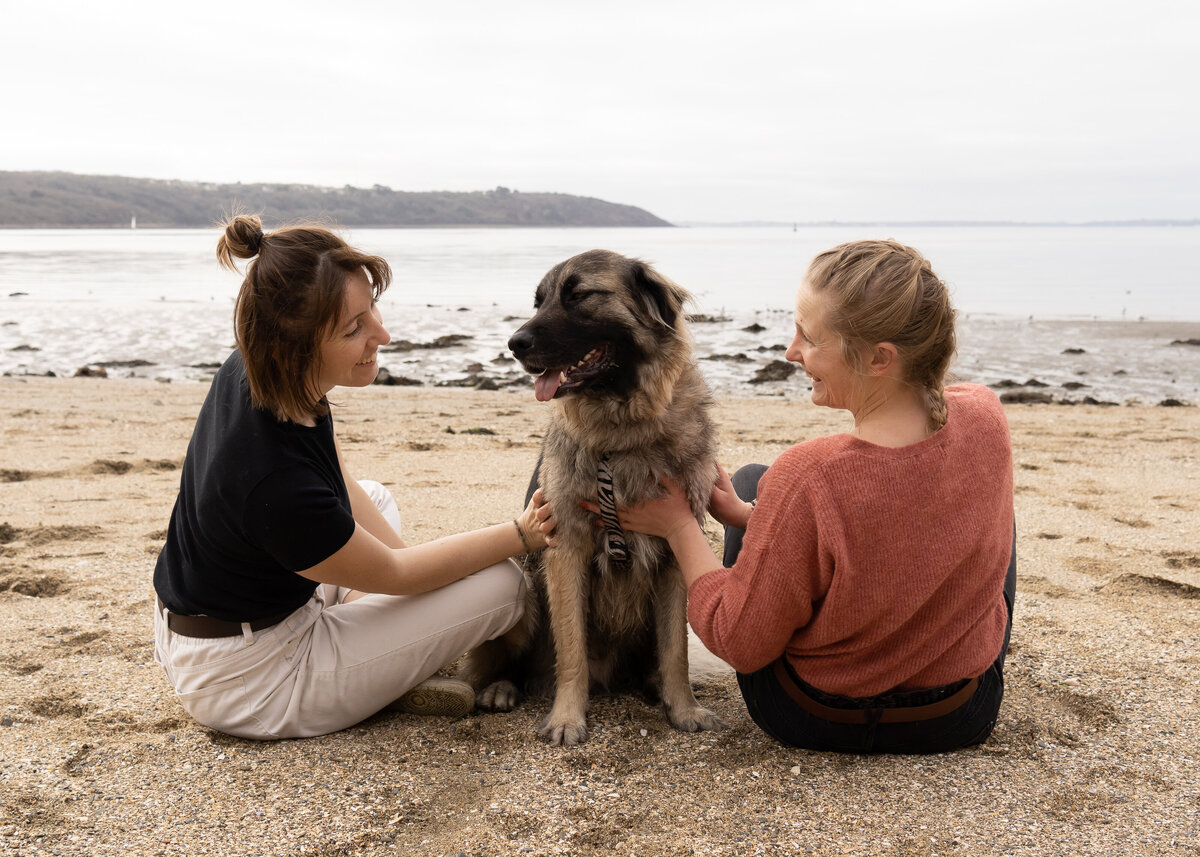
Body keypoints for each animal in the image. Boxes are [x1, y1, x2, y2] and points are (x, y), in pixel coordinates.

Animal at [458, 244, 720, 739]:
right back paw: (501, 687)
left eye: (578, 296)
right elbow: (572, 649)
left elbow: (676, 651)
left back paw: (653, 685)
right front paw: (566, 718)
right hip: (527, 588)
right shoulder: (565, 550)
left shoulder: (676, 556)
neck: (622, 437)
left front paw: (684, 708)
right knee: (497, 665)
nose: (514, 344)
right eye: (539, 301)